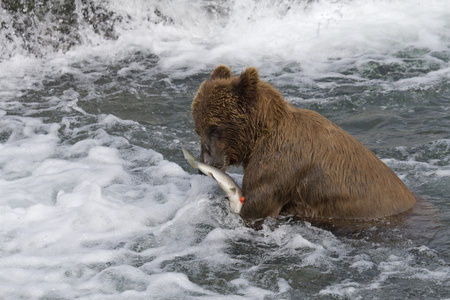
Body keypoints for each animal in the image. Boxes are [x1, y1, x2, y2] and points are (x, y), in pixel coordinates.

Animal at [192, 65, 416, 229]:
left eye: (215, 128)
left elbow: (257, 207)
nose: (206, 163)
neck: (258, 137)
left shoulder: (278, 166)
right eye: (198, 129)